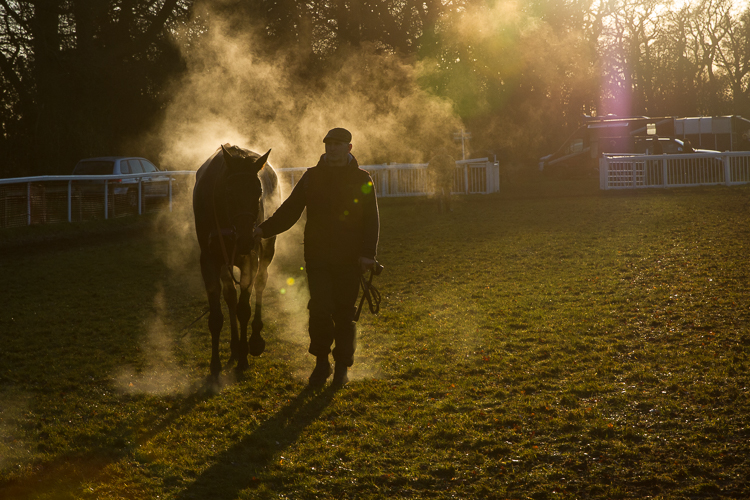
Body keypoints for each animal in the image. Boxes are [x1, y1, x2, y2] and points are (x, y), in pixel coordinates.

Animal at [192, 144, 280, 376]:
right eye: (229, 192)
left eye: (258, 192)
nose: (245, 239)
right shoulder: (209, 262)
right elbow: (216, 316)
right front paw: (215, 364)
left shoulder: (250, 259)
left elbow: (244, 310)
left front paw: (243, 358)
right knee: (231, 295)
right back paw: (233, 347)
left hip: (266, 249)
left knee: (260, 283)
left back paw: (254, 340)